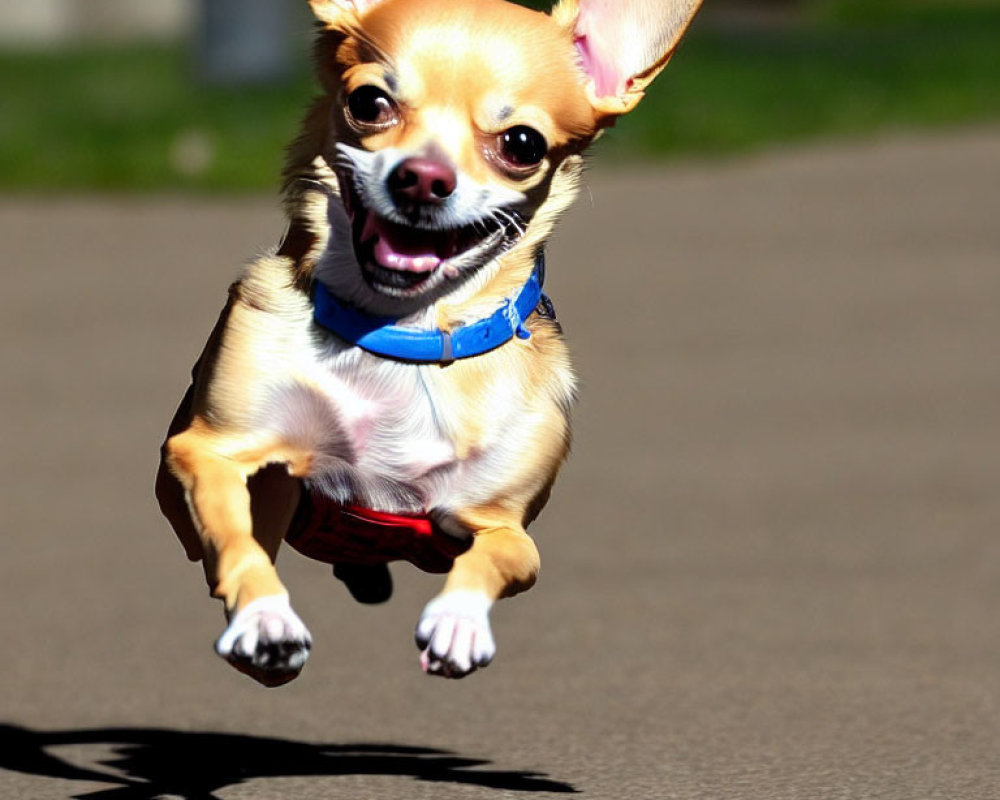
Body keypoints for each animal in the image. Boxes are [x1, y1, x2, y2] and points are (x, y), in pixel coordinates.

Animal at [158, 0, 704, 688]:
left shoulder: (502, 526)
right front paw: (264, 618)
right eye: (369, 104)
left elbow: (489, 559)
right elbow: (236, 535)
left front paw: (458, 621)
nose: (422, 177)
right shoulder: (209, 451)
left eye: (521, 144)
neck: (398, 335)